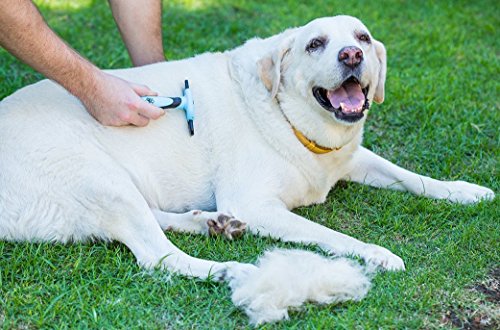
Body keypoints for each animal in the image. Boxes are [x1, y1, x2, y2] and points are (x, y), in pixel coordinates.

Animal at [0, 16, 492, 324]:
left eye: (363, 37)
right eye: (316, 44)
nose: (353, 55)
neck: (290, 117)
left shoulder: (353, 157)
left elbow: (414, 177)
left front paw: (466, 191)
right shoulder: (256, 204)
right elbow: (332, 236)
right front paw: (375, 253)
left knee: (156, 224)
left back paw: (210, 223)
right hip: (99, 177)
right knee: (158, 257)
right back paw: (229, 270)